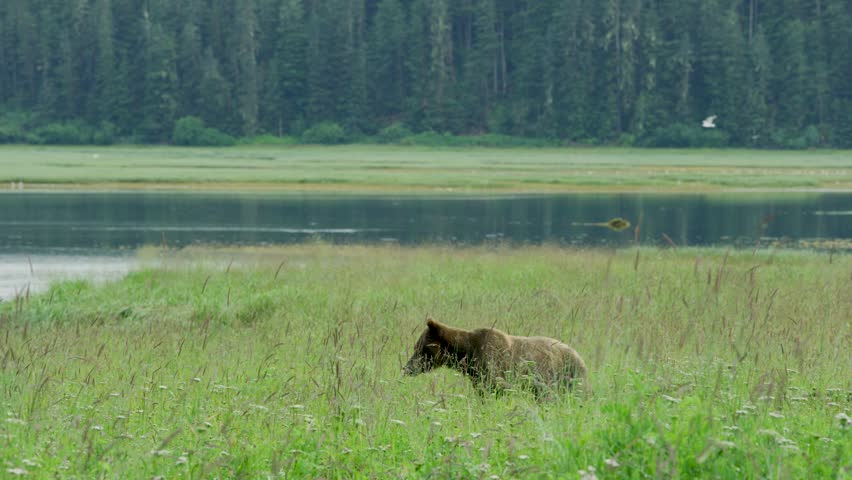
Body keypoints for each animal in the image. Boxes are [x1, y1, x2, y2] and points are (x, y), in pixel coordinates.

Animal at [403, 318, 587, 398]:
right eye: (416, 347)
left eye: (421, 349)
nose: (406, 368)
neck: (467, 354)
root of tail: (578, 354)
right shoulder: (478, 377)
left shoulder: (494, 365)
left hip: (568, 376)